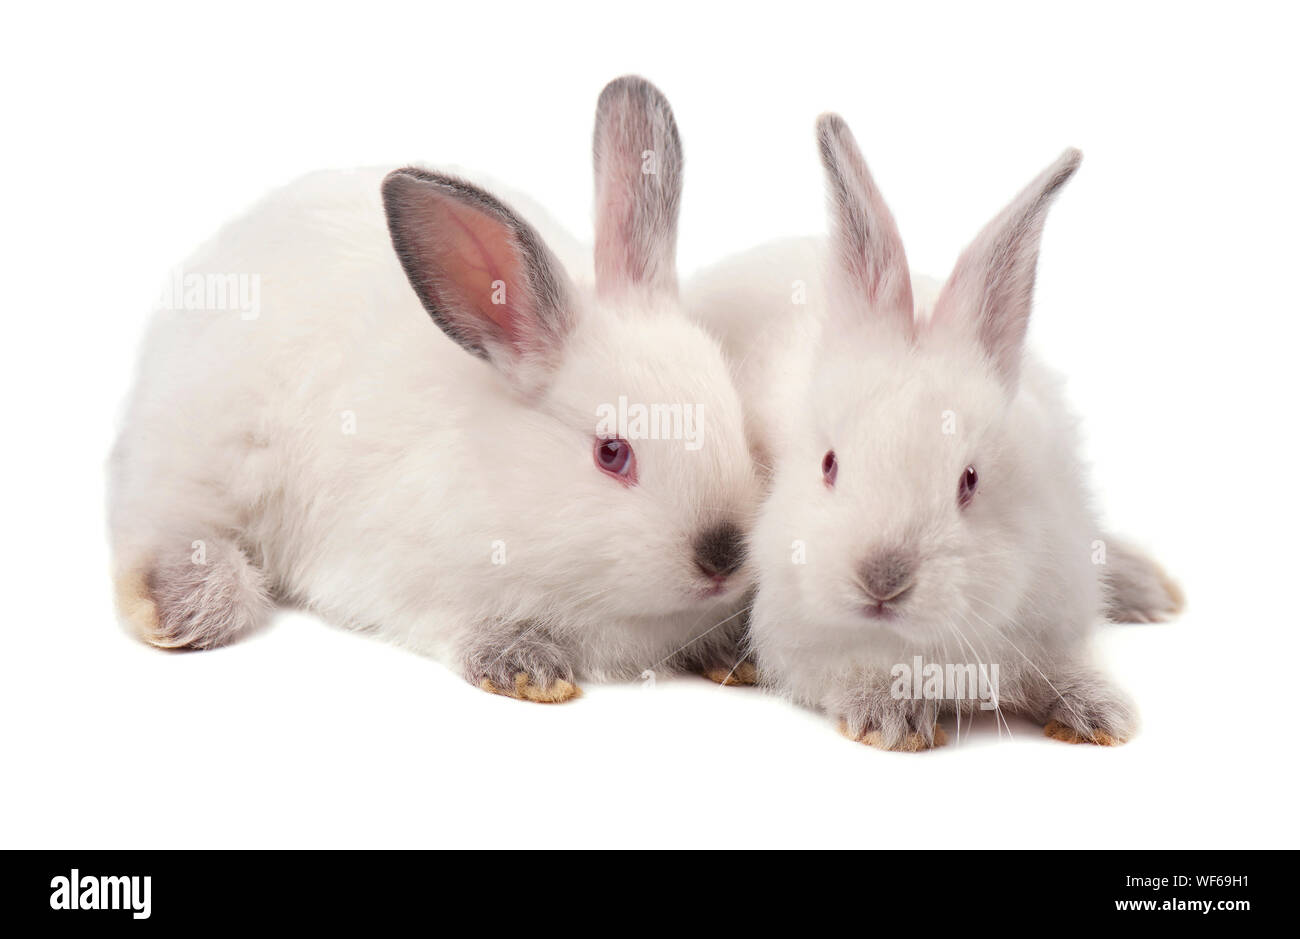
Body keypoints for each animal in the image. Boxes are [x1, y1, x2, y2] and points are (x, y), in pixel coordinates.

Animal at [108, 75, 761, 702]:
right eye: (611, 453)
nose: (723, 557)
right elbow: (459, 622)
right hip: (209, 458)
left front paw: (736, 658)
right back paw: (182, 605)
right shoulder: (397, 573)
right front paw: (525, 668)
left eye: (737, 422)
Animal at [686, 114, 1183, 749]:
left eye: (969, 480)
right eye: (829, 465)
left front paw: (1101, 713)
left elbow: (1061, 666)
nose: (881, 579)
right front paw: (891, 718)